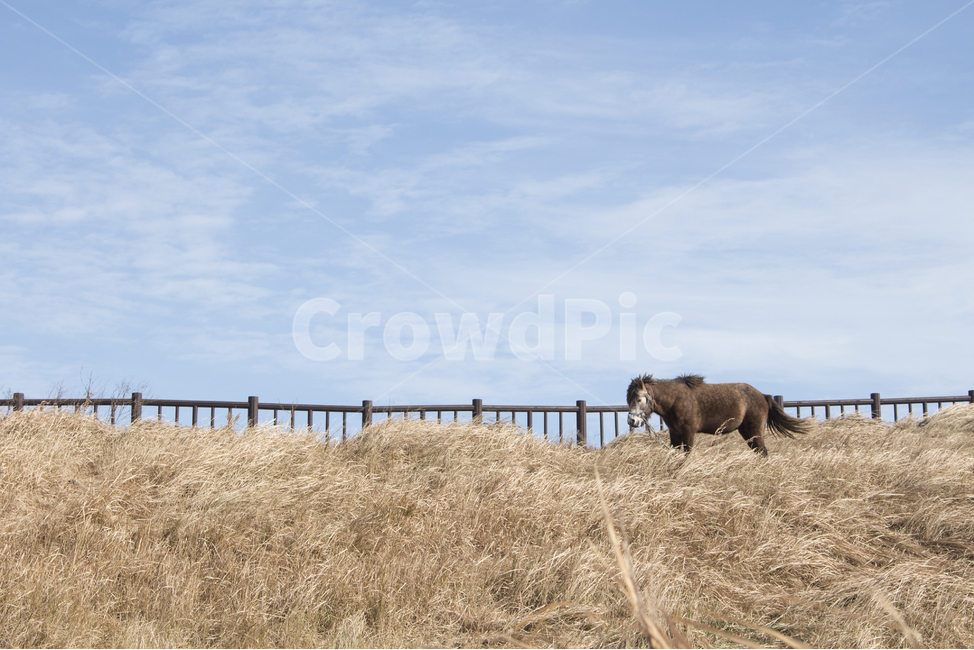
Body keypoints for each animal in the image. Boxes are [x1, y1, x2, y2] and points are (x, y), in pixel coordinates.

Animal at [626, 373, 812, 456]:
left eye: (639, 399)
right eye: (628, 399)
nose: (632, 421)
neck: (675, 400)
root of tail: (763, 396)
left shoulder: (688, 432)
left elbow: (687, 453)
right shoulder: (675, 433)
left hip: (755, 431)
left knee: (763, 452)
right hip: (747, 432)